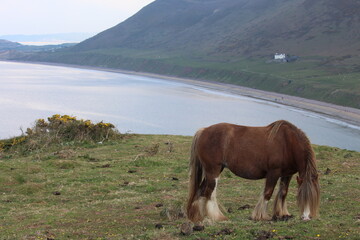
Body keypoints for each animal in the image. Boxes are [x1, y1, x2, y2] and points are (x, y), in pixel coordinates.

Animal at [187, 120, 320, 223]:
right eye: (302, 196)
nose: (306, 217)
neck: (287, 143)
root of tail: (203, 131)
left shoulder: (287, 174)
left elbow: (283, 193)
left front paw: (282, 214)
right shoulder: (273, 173)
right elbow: (268, 193)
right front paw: (260, 216)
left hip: (213, 171)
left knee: (201, 190)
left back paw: (198, 216)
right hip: (213, 171)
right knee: (210, 192)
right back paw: (217, 217)